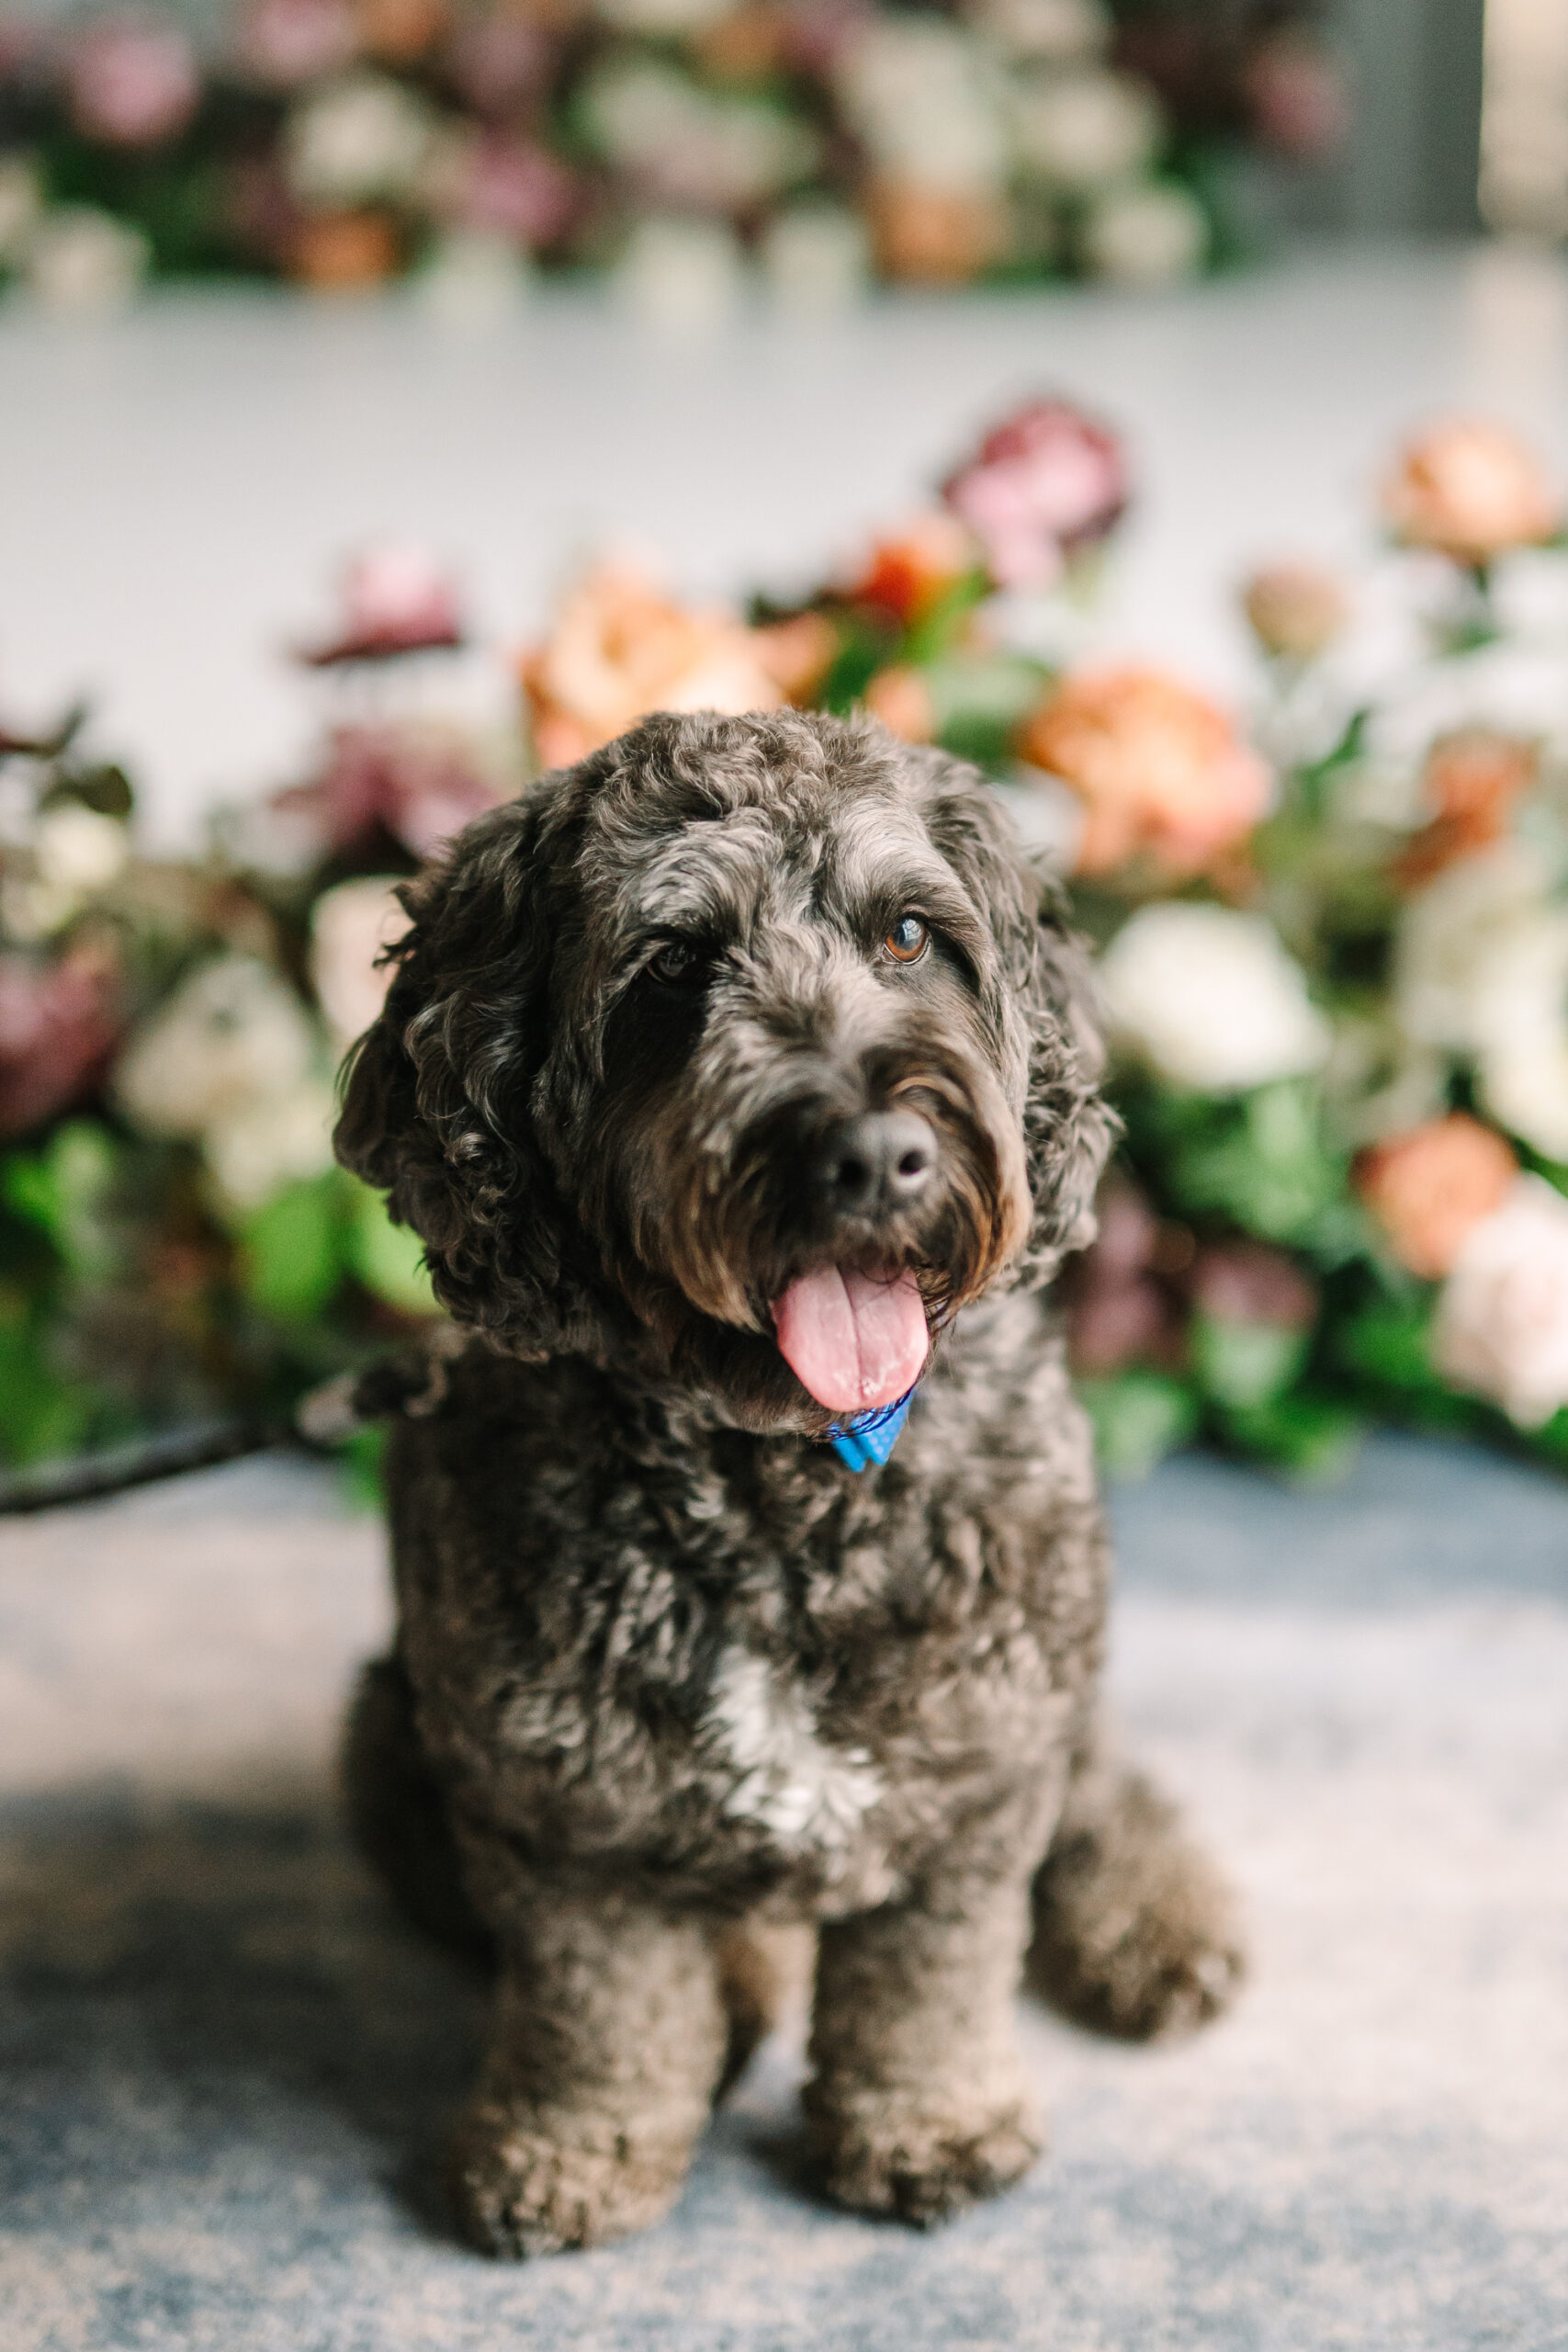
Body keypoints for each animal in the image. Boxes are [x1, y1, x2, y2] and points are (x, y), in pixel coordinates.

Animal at [338, 700, 1241, 2257]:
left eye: (906, 935)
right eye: (671, 964)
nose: (873, 1154)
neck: (783, 1481)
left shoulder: (973, 1773)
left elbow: (927, 1981)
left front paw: (928, 2124)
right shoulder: (552, 1811)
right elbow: (595, 2005)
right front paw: (574, 2150)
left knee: (1098, 1779)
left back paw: (1155, 1918)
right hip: (391, 1743)